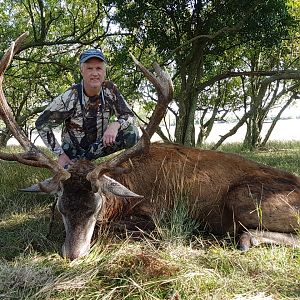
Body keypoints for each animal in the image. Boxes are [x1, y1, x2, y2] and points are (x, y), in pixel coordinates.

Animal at [0, 33, 298, 260]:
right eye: (61, 208)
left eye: (95, 208)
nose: (73, 254)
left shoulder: (161, 217)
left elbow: (118, 227)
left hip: (243, 196)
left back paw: (246, 239)